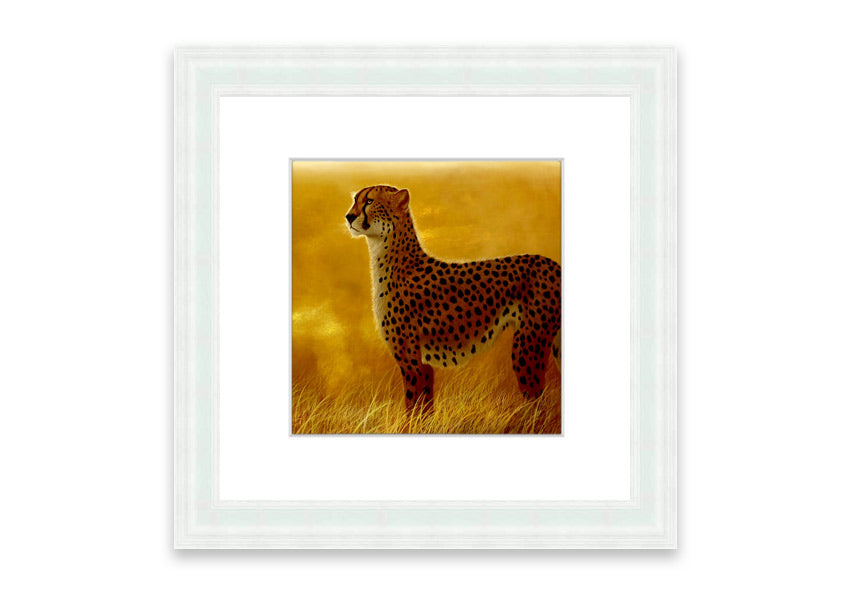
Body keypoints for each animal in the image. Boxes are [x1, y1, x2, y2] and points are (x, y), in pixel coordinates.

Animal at [346, 185, 561, 413]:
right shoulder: (423, 363)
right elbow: (424, 407)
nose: (349, 216)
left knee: (536, 401)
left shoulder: (411, 361)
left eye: (369, 201)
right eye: (355, 200)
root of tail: (552, 263)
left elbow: (413, 405)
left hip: (527, 346)